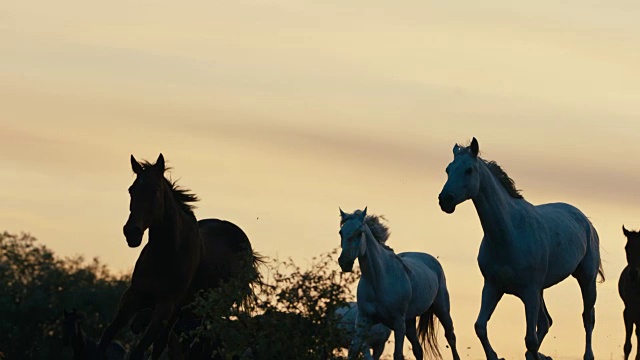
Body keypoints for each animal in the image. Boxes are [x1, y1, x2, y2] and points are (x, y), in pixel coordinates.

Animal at [96, 153, 262, 358]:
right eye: (131, 190)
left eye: (155, 190)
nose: (131, 232)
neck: (166, 254)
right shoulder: (134, 297)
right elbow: (107, 336)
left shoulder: (164, 307)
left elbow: (138, 349)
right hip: (181, 312)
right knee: (163, 345)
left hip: (206, 314)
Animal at [338, 208, 458, 360]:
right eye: (341, 232)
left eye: (360, 233)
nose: (344, 262)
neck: (378, 281)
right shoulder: (362, 322)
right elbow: (352, 352)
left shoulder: (398, 323)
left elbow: (398, 354)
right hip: (410, 322)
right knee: (418, 350)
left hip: (441, 309)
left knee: (451, 337)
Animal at [438, 138, 604, 360]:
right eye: (448, 169)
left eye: (469, 170)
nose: (445, 200)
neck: (509, 234)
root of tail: (586, 221)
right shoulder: (493, 287)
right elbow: (480, 327)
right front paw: (495, 356)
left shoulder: (530, 292)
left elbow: (530, 339)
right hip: (541, 290)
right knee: (546, 322)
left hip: (586, 279)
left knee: (588, 317)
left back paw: (587, 355)